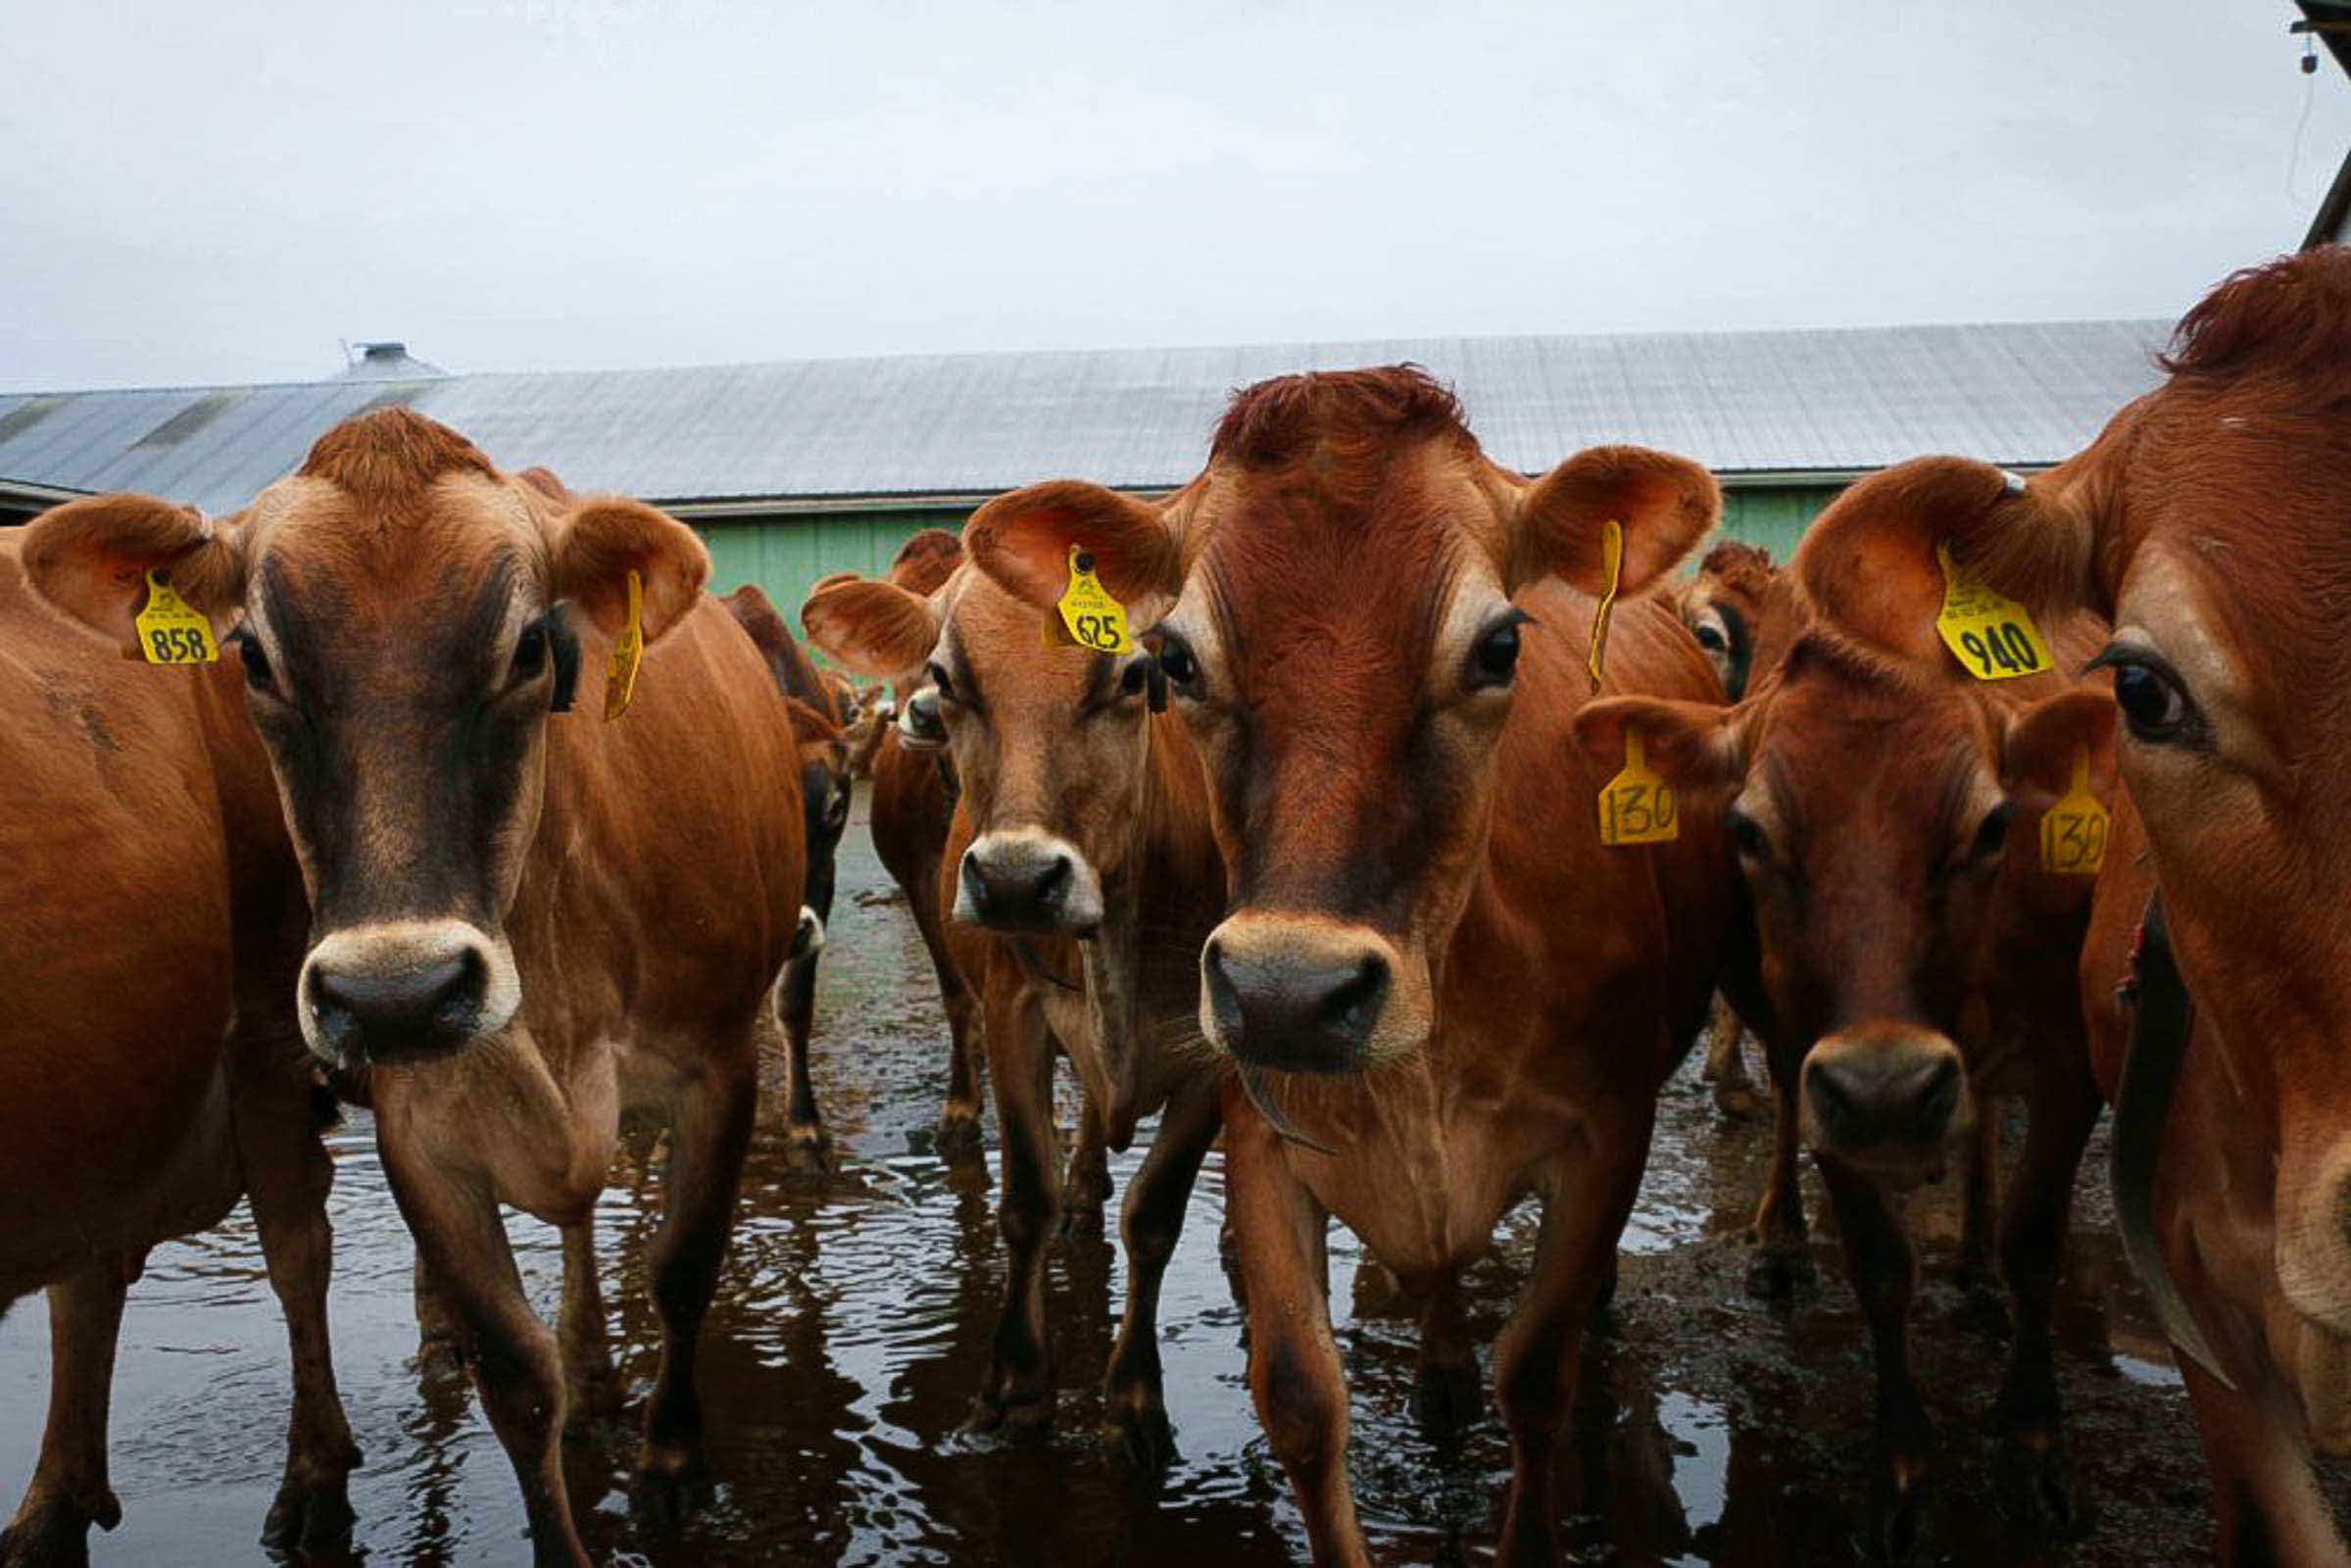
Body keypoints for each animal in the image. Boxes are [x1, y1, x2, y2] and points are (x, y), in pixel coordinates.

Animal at [959, 366, 1743, 1565]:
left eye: (1499, 647)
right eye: (1175, 660)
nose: (1288, 993)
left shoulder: (1606, 1132)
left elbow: (1538, 1377)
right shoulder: (1259, 1134)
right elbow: (1297, 1394)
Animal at [1581, 464, 2118, 1558]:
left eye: (1992, 822)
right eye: (1748, 830)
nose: (1887, 1090)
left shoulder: (2068, 1057)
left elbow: (2036, 1243)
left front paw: (2034, 1443)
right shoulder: (1818, 1051)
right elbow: (1876, 1264)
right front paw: (1902, 1478)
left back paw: (1972, 1261)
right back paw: (1785, 1238)